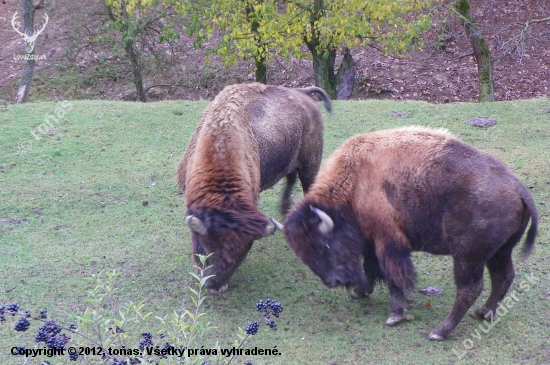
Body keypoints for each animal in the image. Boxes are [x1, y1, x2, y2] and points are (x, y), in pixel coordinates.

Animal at [179, 82, 330, 292]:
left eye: (242, 255)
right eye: (202, 247)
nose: (216, 287)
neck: (219, 142)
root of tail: (303, 93)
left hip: (310, 163)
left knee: (308, 187)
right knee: (290, 180)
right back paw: (285, 211)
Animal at [284, 126, 540, 340]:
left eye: (324, 246)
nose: (333, 282)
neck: (357, 179)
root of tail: (518, 187)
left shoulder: (389, 242)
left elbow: (393, 276)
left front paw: (395, 315)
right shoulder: (372, 241)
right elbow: (371, 268)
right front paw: (361, 292)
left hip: (467, 256)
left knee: (469, 289)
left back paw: (439, 332)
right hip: (500, 251)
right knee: (503, 277)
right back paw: (483, 313)